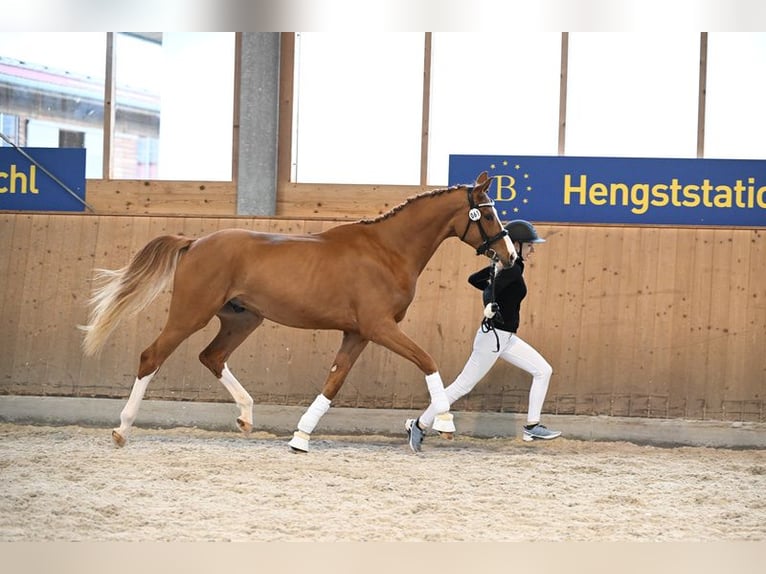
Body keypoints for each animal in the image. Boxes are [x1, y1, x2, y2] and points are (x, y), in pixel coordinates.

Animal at [80, 171, 516, 452]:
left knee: (212, 356)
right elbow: (427, 360)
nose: (510, 256)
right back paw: (122, 429)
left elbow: (333, 382)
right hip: (191, 313)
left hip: (243, 318)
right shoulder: (379, 327)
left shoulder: (358, 333)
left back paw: (246, 416)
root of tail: (195, 242)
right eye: (487, 213)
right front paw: (444, 422)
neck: (388, 251)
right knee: (151, 356)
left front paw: (301, 437)